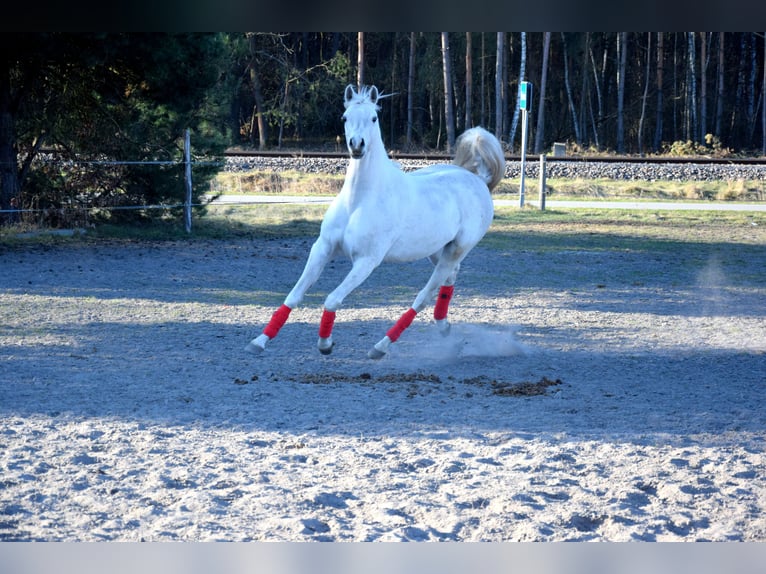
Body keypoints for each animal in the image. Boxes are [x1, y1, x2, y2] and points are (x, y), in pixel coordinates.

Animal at [246, 84, 505, 360]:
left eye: (373, 118)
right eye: (344, 117)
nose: (357, 145)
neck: (358, 201)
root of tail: (478, 180)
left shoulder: (367, 260)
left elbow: (332, 299)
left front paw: (325, 344)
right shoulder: (323, 248)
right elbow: (294, 295)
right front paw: (259, 341)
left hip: (456, 250)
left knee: (423, 297)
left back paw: (380, 347)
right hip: (437, 250)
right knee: (448, 281)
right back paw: (443, 326)